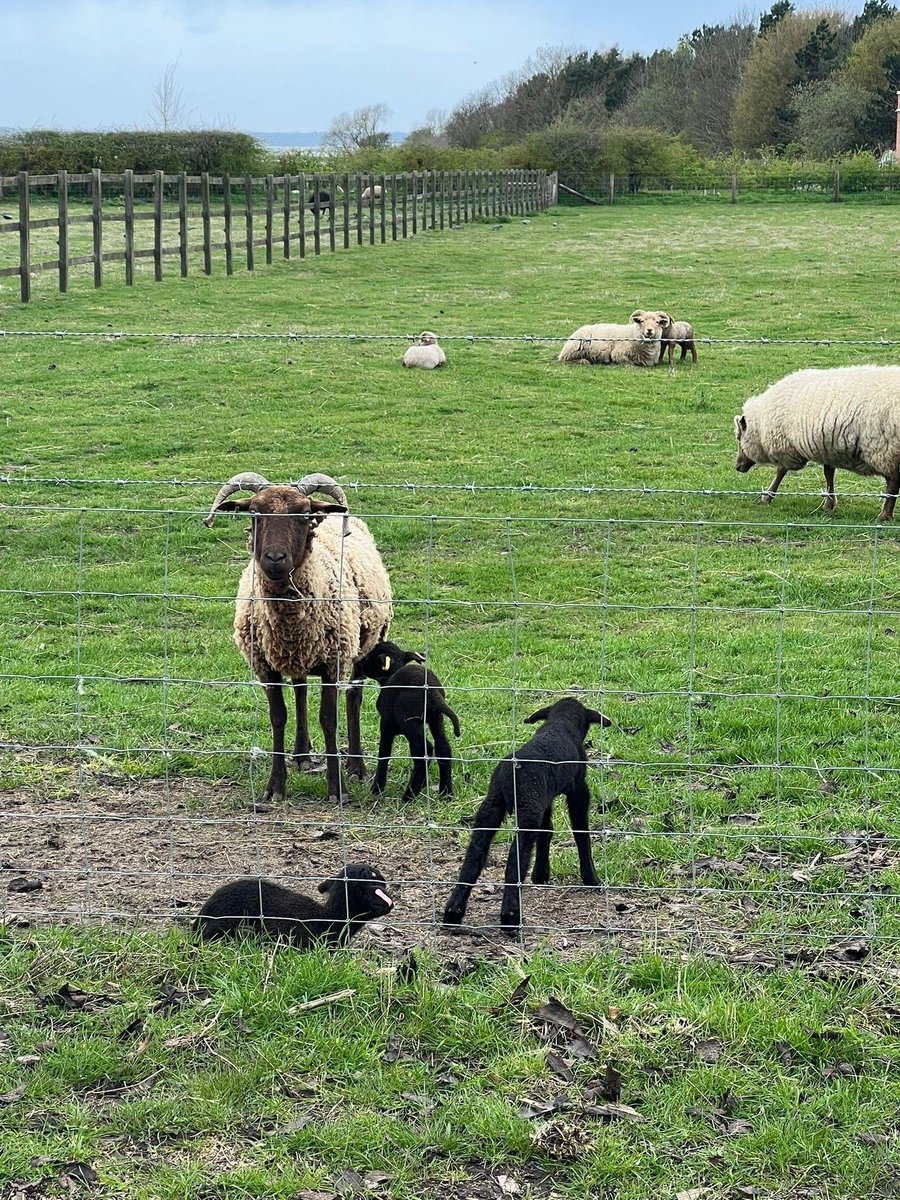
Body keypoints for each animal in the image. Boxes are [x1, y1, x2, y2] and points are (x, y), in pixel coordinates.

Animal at [204, 472, 393, 803]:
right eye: (255, 512)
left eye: (304, 514)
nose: (275, 558)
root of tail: (333, 515)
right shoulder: (265, 666)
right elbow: (278, 717)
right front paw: (275, 787)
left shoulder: (333, 662)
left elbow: (329, 720)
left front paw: (337, 789)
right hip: (299, 656)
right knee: (301, 690)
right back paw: (302, 755)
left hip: (364, 643)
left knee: (353, 696)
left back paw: (356, 766)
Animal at [356, 640, 461, 800]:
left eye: (370, 656)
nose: (360, 666)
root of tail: (432, 691)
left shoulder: (386, 723)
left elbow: (384, 753)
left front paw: (377, 788)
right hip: (436, 717)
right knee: (443, 748)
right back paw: (446, 793)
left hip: (408, 721)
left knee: (423, 750)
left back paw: (409, 795)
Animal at [442, 698, 611, 933]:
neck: (560, 724)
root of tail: (511, 774)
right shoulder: (578, 789)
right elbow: (580, 832)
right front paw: (591, 878)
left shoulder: (545, 797)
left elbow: (546, 831)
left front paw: (541, 874)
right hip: (527, 808)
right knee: (515, 860)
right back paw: (511, 917)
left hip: (492, 806)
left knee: (474, 855)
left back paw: (453, 912)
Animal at [734, 365, 900, 521]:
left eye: (739, 437)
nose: (737, 466)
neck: (762, 423)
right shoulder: (827, 448)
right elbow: (828, 474)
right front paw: (829, 504)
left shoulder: (787, 447)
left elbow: (781, 471)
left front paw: (767, 497)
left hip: (885, 448)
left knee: (893, 483)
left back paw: (885, 515)